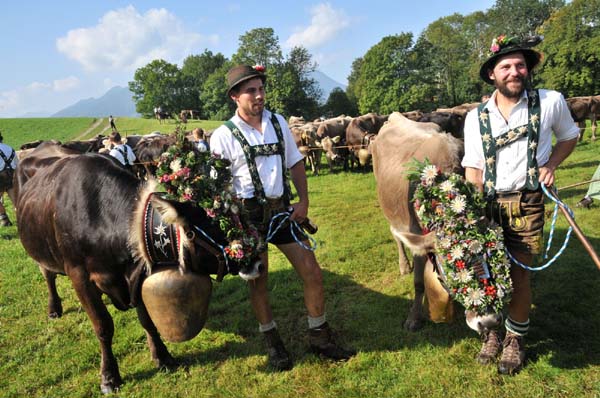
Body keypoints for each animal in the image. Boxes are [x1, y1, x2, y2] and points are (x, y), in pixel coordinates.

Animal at [372, 111, 504, 332]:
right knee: (395, 234)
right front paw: (414, 318)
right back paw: (404, 266)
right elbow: (419, 283)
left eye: (493, 256)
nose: (488, 322)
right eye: (454, 266)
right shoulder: (417, 234)